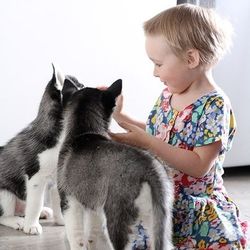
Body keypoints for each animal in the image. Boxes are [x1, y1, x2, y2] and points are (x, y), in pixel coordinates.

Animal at [0, 66, 83, 234]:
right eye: (82, 86)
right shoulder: (36, 177)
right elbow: (35, 204)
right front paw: (31, 226)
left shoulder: (59, 177)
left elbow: (58, 201)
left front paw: (62, 220)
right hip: (5, 193)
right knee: (3, 216)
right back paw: (17, 221)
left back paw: (42, 212)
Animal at [57, 79, 173, 250]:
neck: (84, 131)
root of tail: (150, 167)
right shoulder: (93, 204)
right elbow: (92, 236)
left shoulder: (69, 201)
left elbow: (76, 238)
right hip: (156, 222)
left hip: (116, 219)